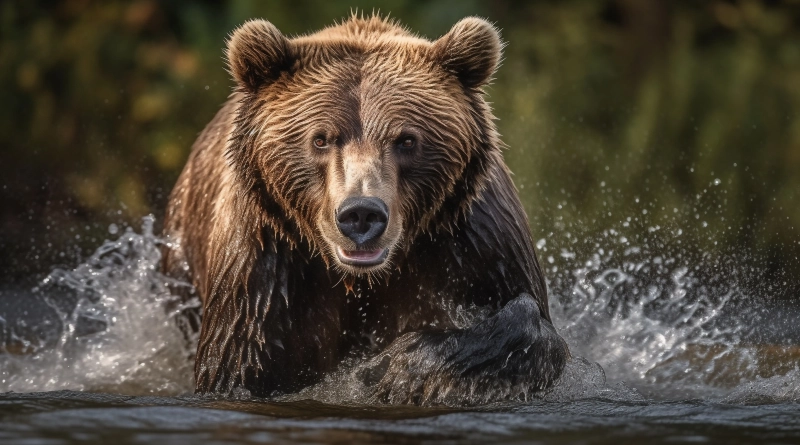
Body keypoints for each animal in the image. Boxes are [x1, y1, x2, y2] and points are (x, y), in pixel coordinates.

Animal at [162, 14, 569, 406]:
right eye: (321, 139)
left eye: (406, 140)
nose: (361, 214)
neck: (361, 279)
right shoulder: (266, 263)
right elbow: (237, 363)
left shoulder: (473, 243)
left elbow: (527, 317)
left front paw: (397, 371)